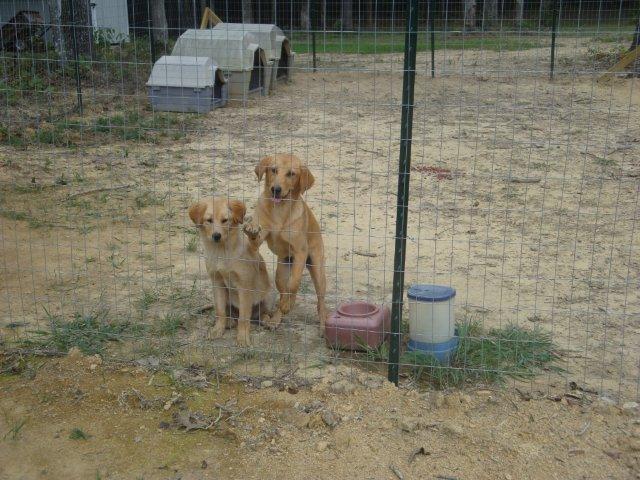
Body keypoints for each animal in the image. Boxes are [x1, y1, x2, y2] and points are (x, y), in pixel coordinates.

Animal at [188, 197, 272, 346]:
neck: (222, 252)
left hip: (267, 296)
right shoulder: (217, 282)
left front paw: (242, 338)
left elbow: (244, 317)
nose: (216, 236)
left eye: (225, 220)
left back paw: (267, 321)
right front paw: (217, 330)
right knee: (230, 314)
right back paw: (229, 322)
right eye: (209, 220)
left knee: (262, 314)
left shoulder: (244, 286)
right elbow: (220, 312)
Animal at [242, 155, 328, 334]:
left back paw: (322, 323)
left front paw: (289, 304)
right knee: (283, 290)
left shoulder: (300, 252)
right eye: (273, 170)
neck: (279, 211)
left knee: (319, 300)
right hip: (281, 271)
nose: (276, 189)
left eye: (291, 174)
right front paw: (251, 229)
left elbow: (294, 283)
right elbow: (255, 238)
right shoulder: (257, 243)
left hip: (317, 271)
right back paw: (276, 317)